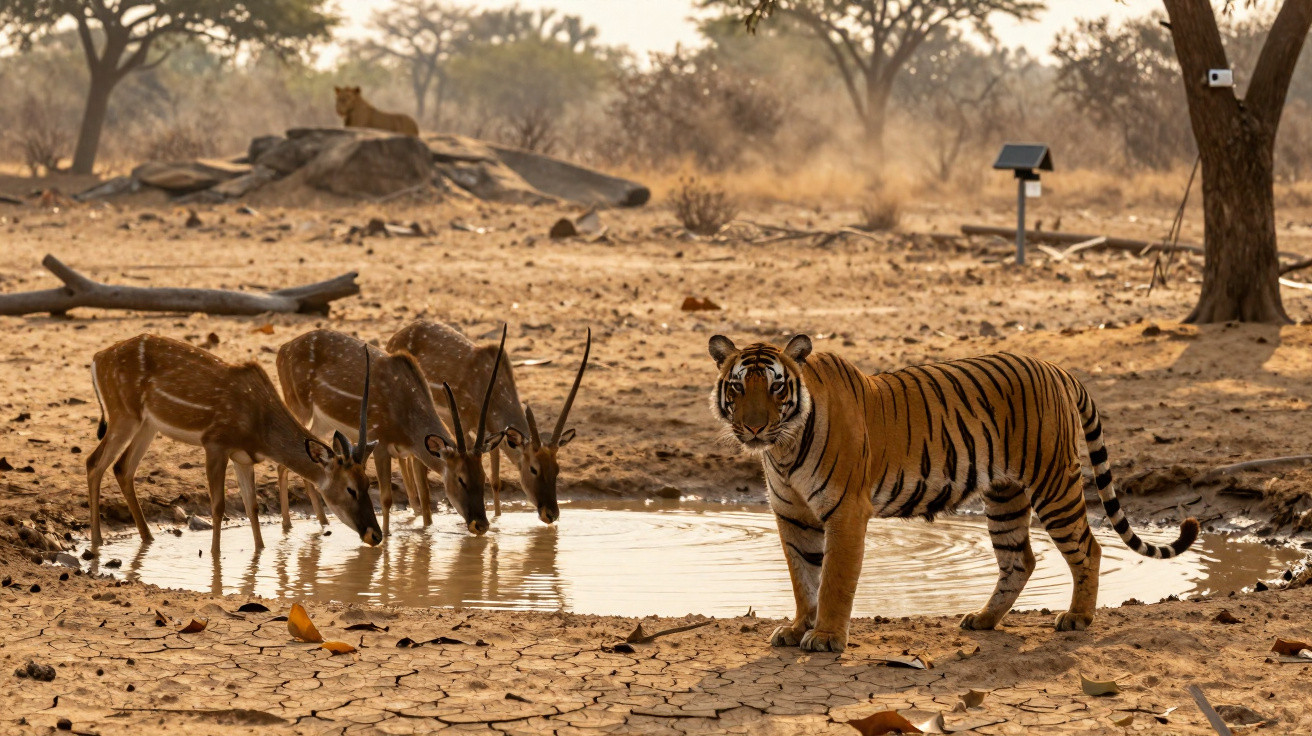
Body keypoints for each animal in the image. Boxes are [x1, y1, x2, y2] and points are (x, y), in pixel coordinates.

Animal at [708, 334, 1198, 652]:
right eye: (737, 386)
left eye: (776, 386)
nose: (754, 427)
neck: (783, 447)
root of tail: (1055, 367)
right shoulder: (792, 516)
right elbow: (802, 579)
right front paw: (796, 629)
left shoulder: (845, 513)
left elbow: (832, 582)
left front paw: (826, 637)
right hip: (1004, 496)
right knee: (1020, 560)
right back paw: (982, 620)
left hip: (1054, 483)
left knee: (1088, 548)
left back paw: (1077, 618)